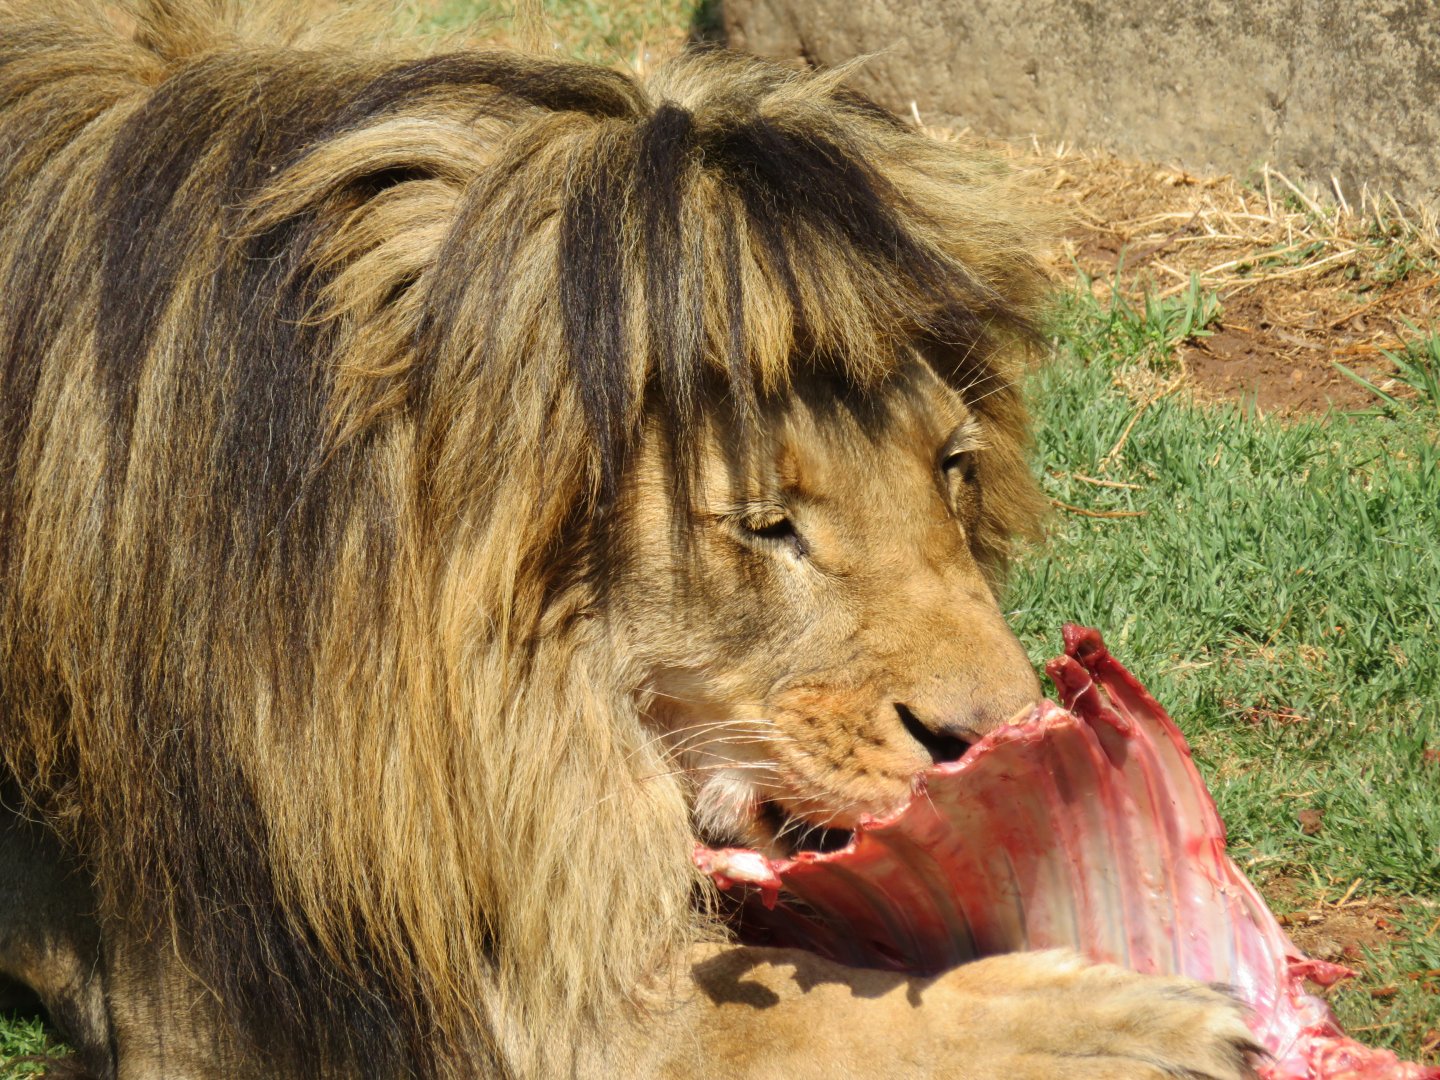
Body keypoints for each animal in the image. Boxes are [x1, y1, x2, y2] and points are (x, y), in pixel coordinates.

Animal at [0, 2, 1258, 1077]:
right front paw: (1143, 1020)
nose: (996, 740)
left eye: (949, 466)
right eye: (769, 525)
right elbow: (800, 1010)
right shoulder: (227, 1005)